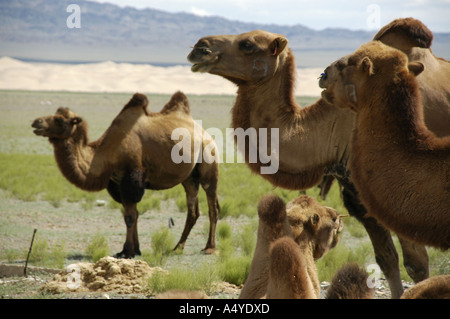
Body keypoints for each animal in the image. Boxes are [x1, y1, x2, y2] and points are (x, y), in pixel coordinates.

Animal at [30, 91, 221, 258]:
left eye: (59, 119)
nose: (36, 122)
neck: (105, 153)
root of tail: (205, 134)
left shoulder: (132, 177)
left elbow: (129, 216)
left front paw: (127, 252)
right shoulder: (118, 183)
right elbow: (132, 214)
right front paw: (134, 249)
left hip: (209, 162)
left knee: (212, 206)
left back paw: (209, 248)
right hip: (189, 178)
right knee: (193, 210)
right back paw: (177, 248)